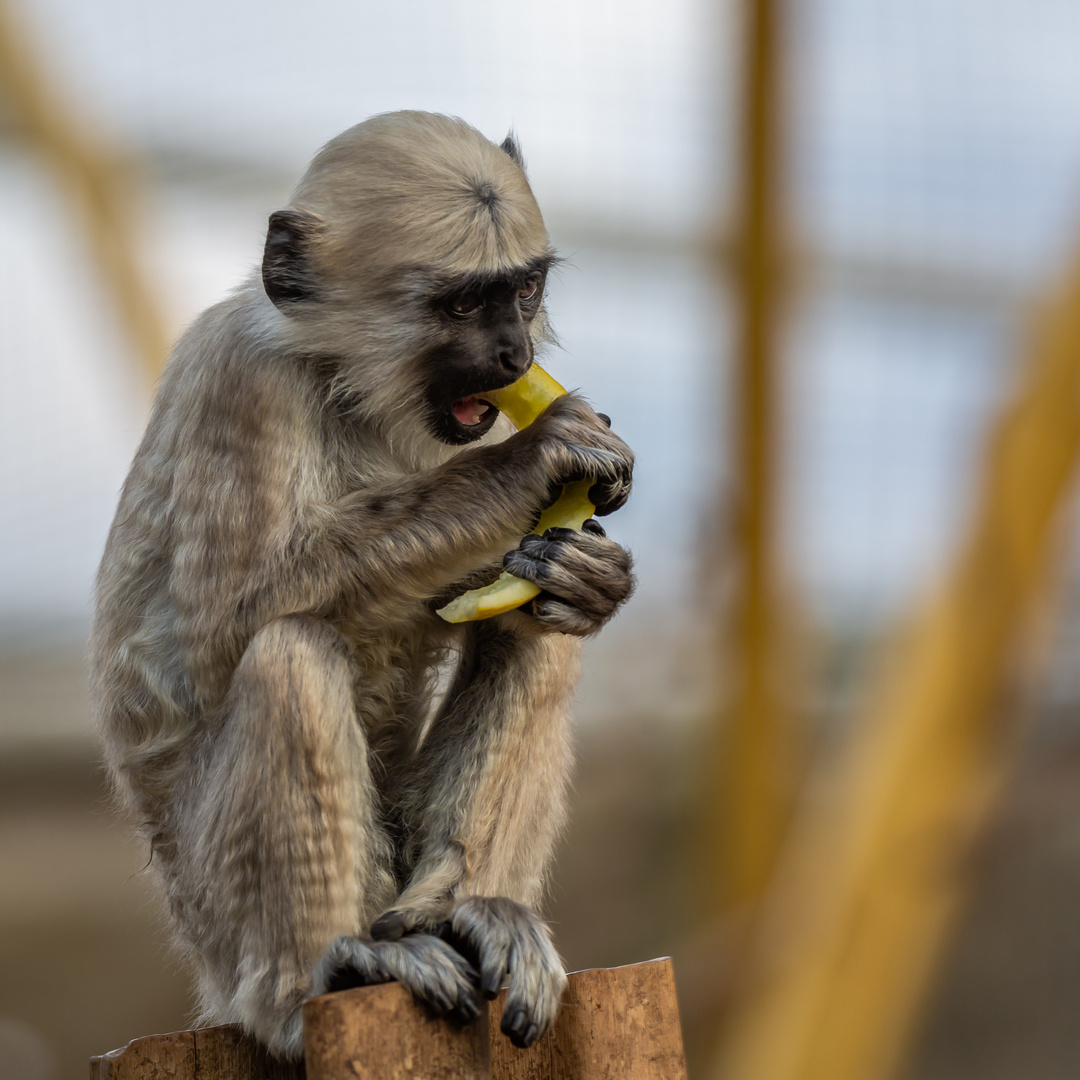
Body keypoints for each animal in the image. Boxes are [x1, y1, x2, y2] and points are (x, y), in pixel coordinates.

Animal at [92, 109, 635, 1054]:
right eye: (462, 305)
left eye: (524, 291)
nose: (513, 353)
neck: (347, 385)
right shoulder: (243, 377)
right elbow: (226, 629)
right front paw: (534, 461)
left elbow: (531, 595)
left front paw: (589, 572)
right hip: (214, 913)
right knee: (290, 651)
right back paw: (318, 978)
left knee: (536, 632)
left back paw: (466, 909)